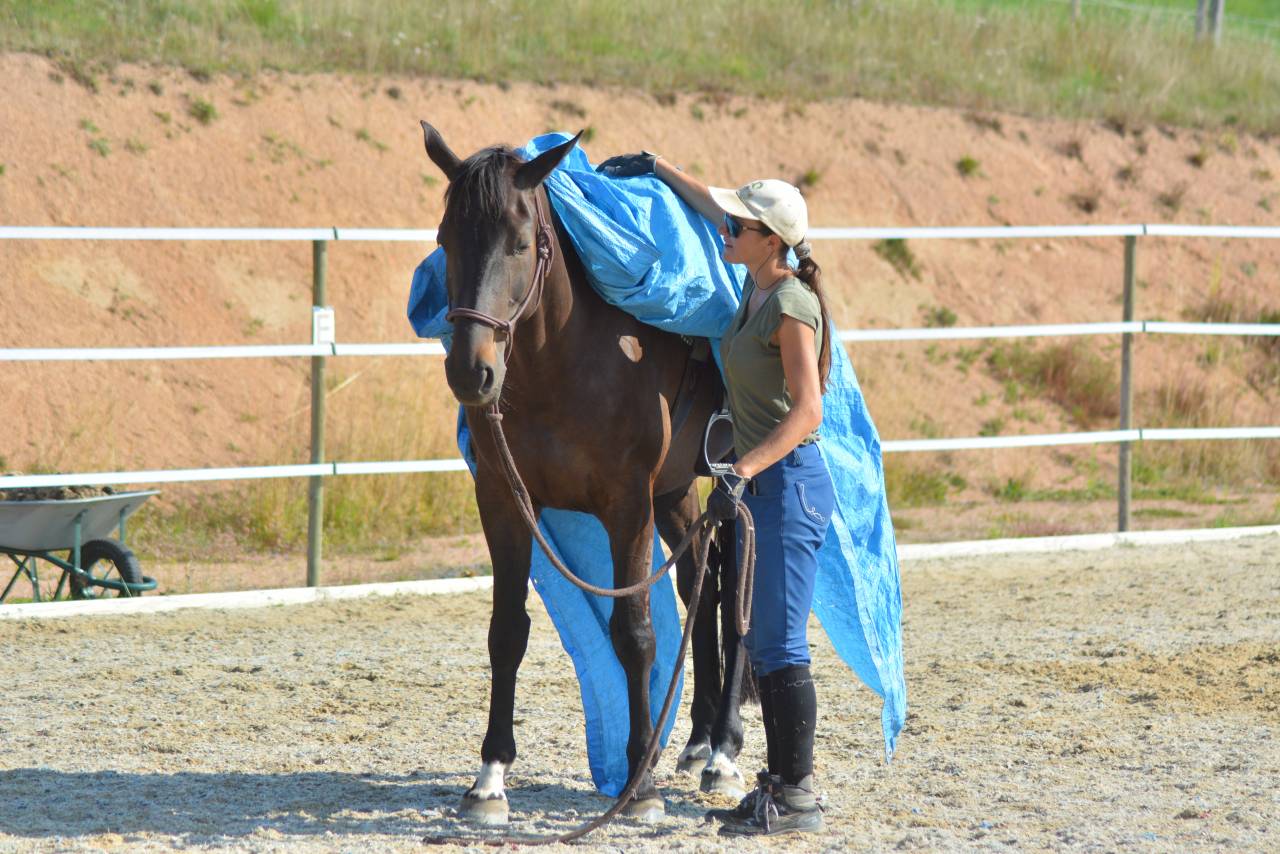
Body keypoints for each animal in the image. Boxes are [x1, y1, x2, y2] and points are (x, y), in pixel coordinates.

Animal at [419, 121, 751, 823]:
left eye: (520, 243)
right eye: (444, 240)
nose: (471, 372)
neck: (565, 365)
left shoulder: (627, 507)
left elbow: (634, 633)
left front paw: (639, 787)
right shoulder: (505, 501)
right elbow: (507, 632)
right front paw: (490, 778)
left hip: (735, 482)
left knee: (738, 591)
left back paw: (723, 753)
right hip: (677, 492)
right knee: (700, 581)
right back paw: (698, 739)